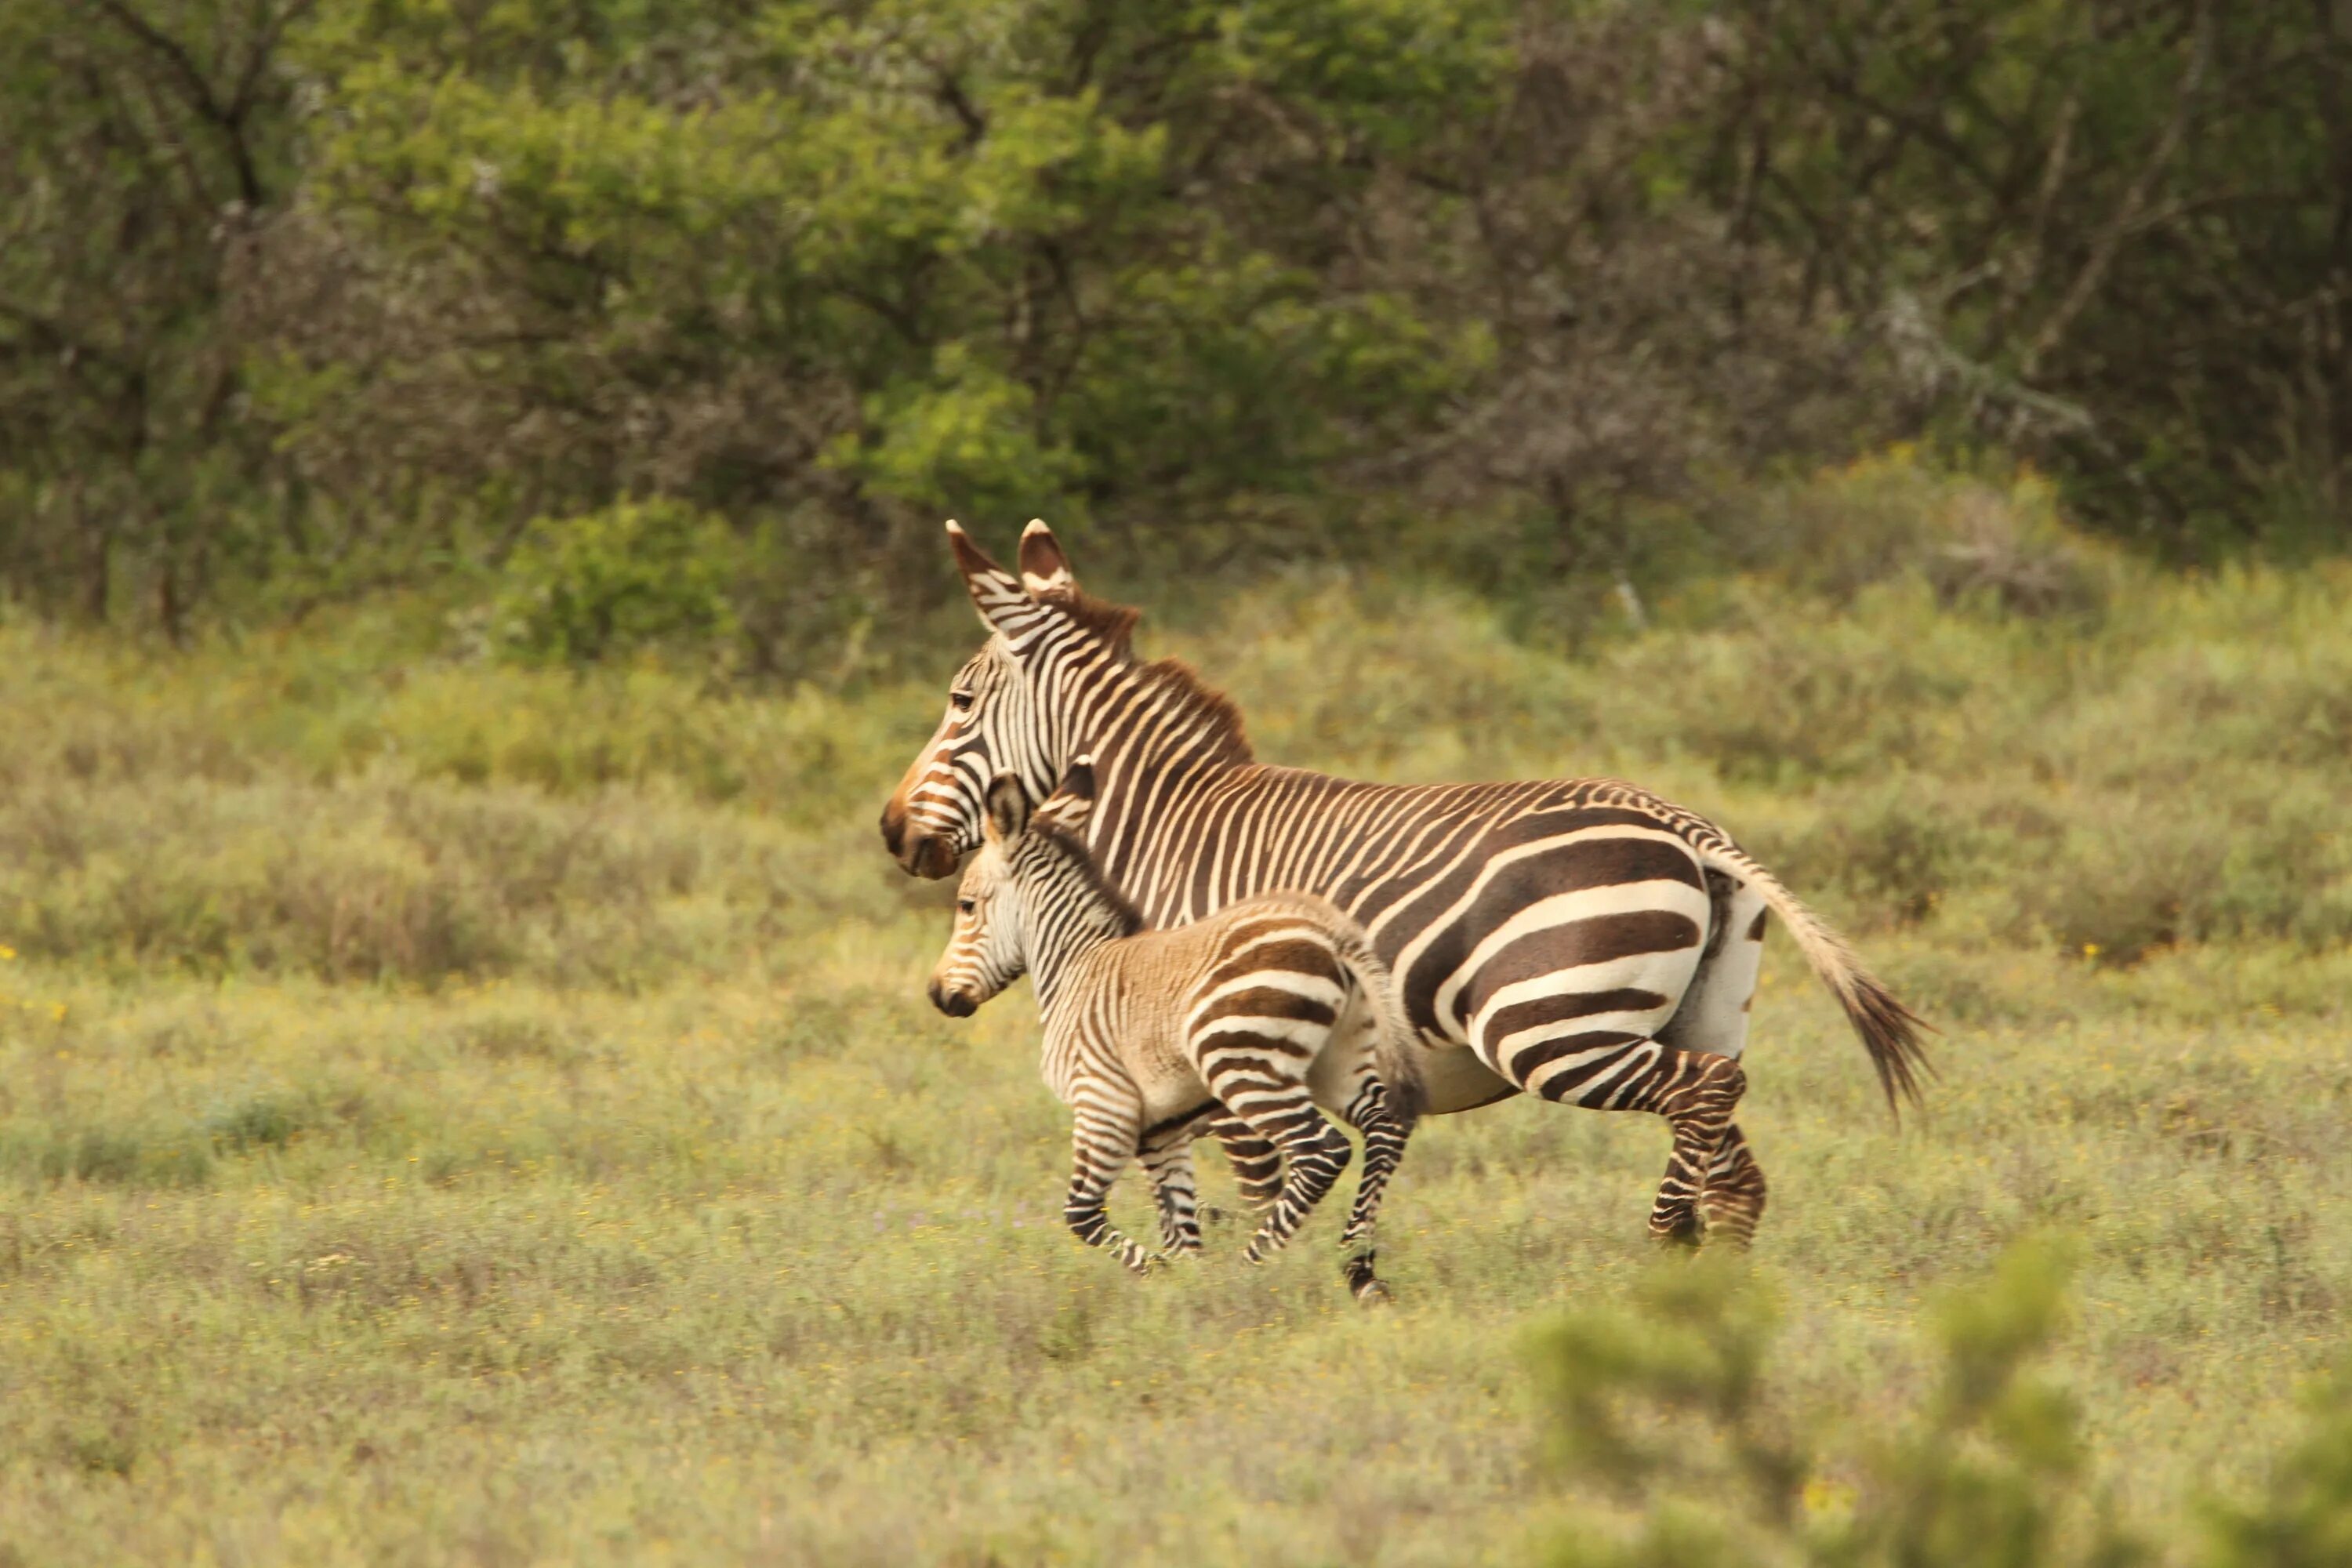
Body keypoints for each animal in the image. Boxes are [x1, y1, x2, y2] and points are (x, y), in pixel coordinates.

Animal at [884, 521, 1929, 1241]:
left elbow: (1257, 1180)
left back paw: (1662, 1246)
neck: (1163, 833)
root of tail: (1690, 827)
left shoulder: (1221, 1041)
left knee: (1702, 1101)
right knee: (1731, 1153)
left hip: (1548, 1022)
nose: (894, 831)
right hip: (1699, 1010)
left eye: (960, 700)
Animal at [931, 761, 1411, 1298]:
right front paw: (1185, 1289)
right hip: (1337, 1061)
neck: (1077, 966)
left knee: (1323, 1152)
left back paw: (1250, 1268)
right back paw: (1359, 1268)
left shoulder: (1102, 1102)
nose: (937, 994)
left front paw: (1172, 1280)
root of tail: (1332, 933)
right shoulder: (1162, 1129)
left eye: (966, 905)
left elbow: (1081, 1215)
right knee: (1384, 1125)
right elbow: (1179, 1227)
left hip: (1242, 1064)